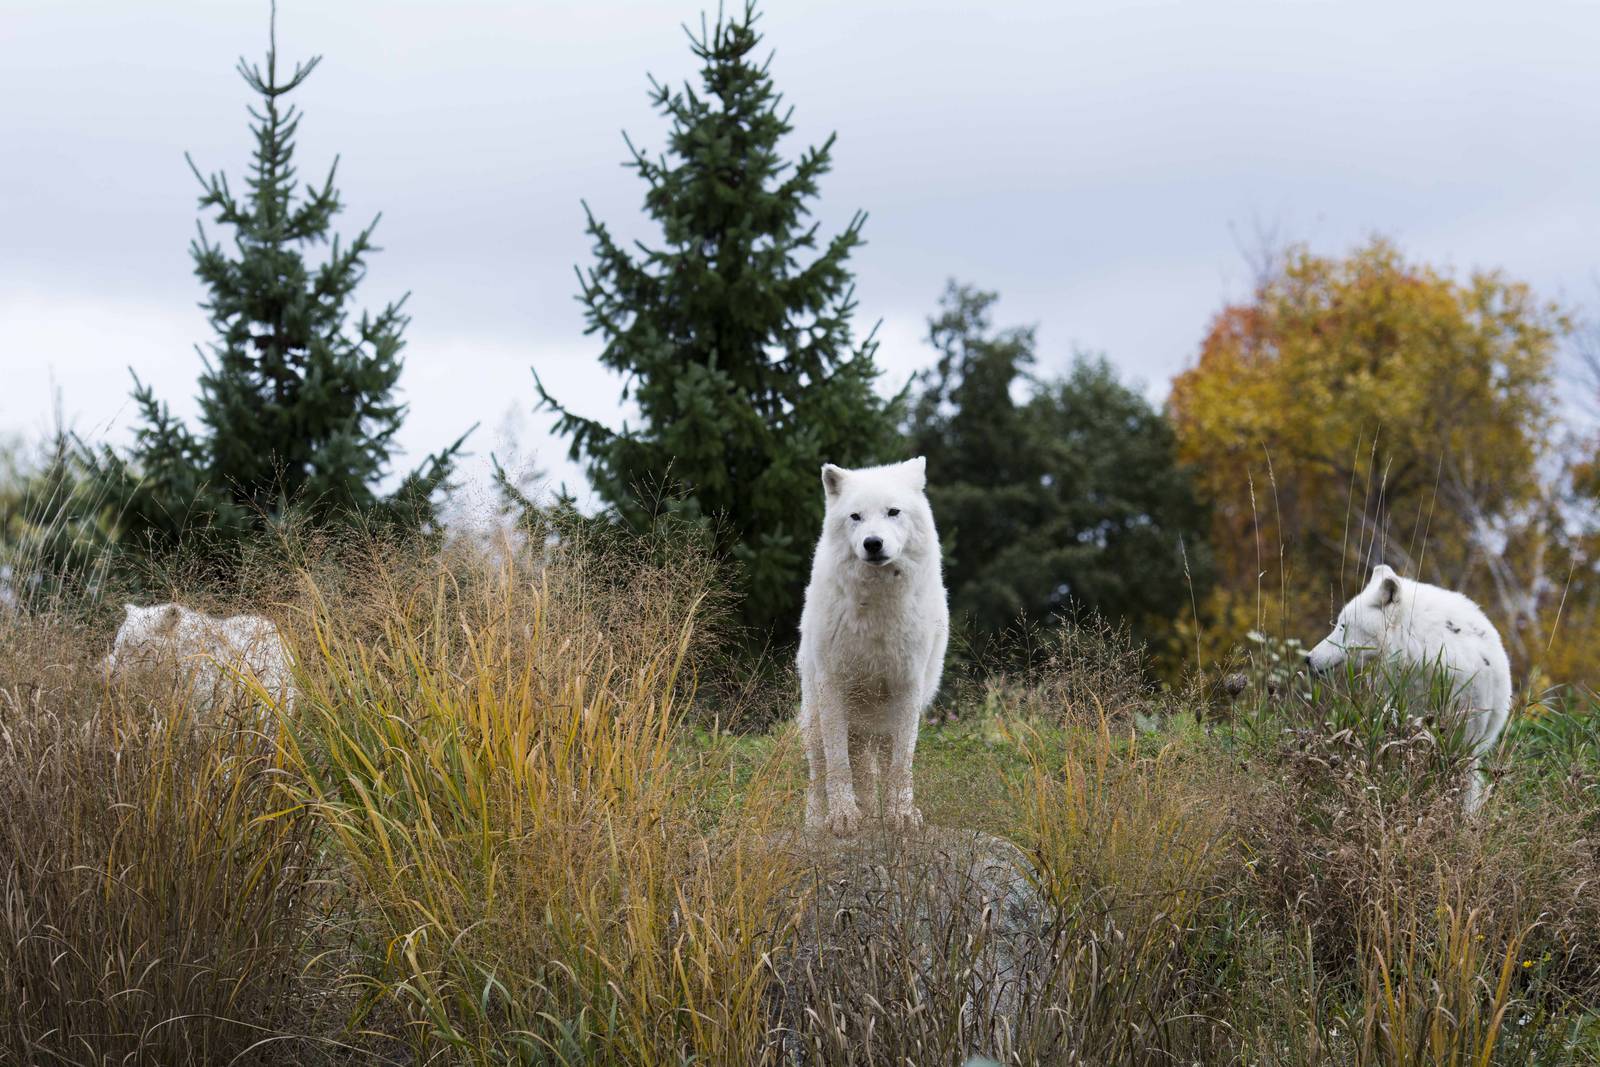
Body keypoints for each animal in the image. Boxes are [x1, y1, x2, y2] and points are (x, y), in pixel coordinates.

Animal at [797, 457, 949, 836]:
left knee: (873, 766)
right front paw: (842, 818)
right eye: (856, 517)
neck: (877, 607)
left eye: (893, 512)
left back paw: (873, 814)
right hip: (816, 719)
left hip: (881, 725)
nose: (873, 543)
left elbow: (901, 766)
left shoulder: (908, 689)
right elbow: (838, 765)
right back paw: (818, 824)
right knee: (820, 772)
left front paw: (902, 816)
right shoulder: (833, 686)